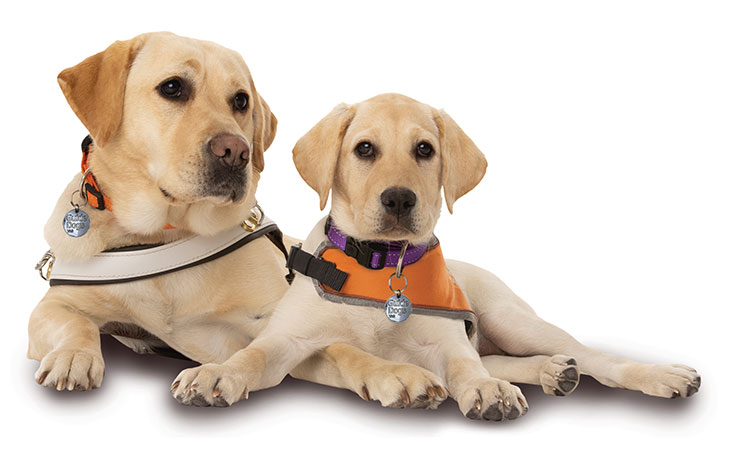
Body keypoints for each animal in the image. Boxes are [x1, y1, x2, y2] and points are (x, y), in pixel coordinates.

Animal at [28, 35, 446, 410]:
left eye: (240, 101)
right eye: (172, 87)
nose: (235, 151)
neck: (166, 234)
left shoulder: (274, 326)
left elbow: (340, 349)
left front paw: (394, 374)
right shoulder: (53, 306)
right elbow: (75, 322)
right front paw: (74, 357)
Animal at [173, 93, 704, 420]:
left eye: (425, 149)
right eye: (364, 149)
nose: (399, 200)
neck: (381, 264)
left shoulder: (448, 343)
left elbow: (465, 368)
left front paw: (487, 392)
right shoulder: (288, 339)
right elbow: (252, 355)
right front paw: (215, 374)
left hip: (509, 319)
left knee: (589, 357)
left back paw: (658, 375)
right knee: (502, 359)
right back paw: (554, 371)